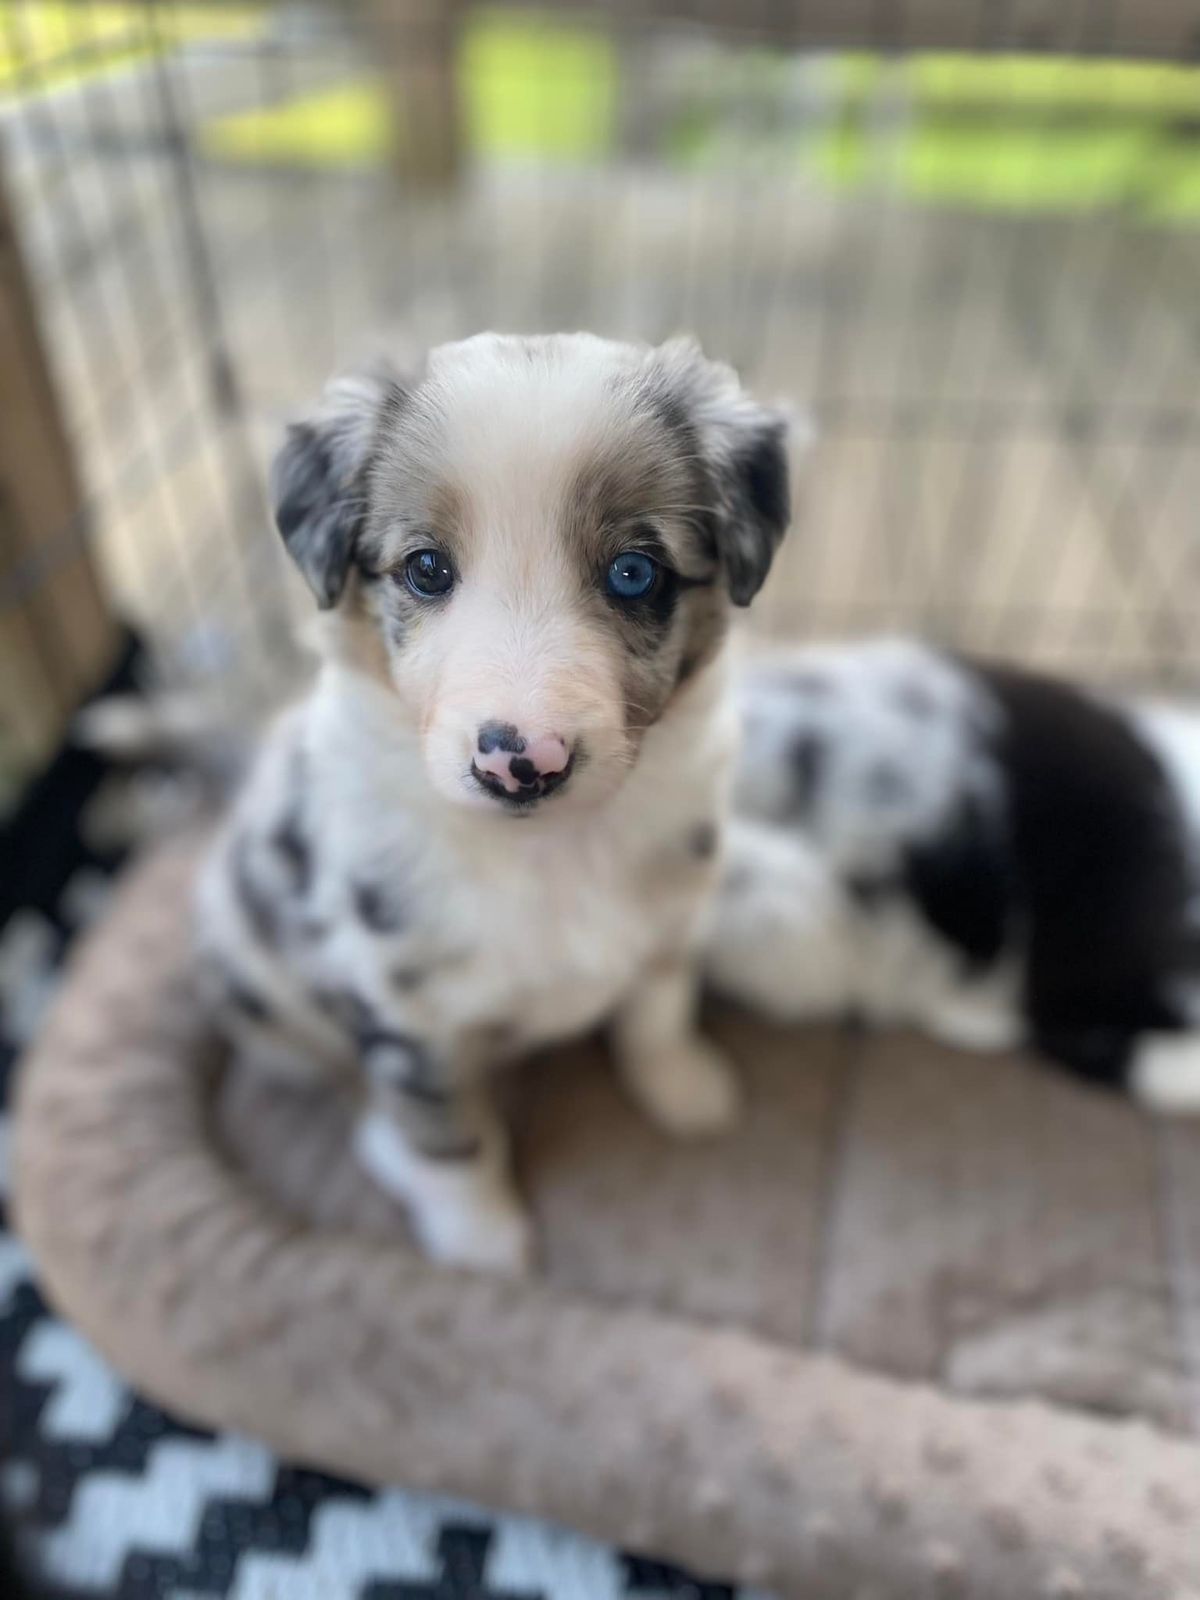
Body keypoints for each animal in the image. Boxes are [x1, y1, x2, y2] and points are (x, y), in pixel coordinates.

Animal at [194, 332, 792, 1272]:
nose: (522, 762)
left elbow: (657, 1011)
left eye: (634, 573)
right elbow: (448, 1139)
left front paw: (685, 1088)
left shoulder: (673, 916)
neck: (550, 849)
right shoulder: (403, 1013)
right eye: (426, 569)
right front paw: (481, 1248)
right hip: (258, 982)